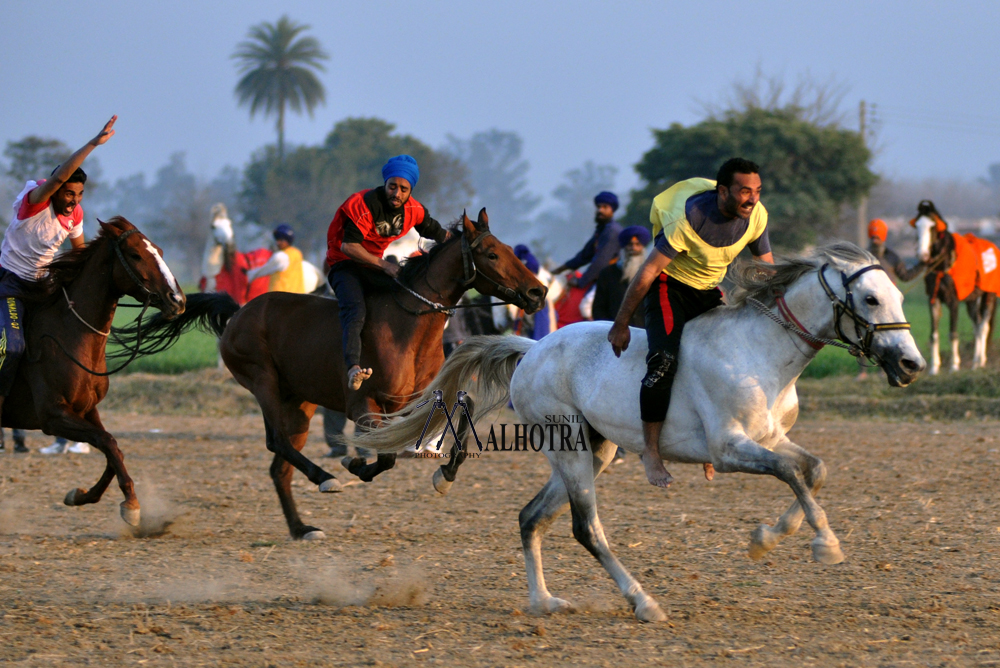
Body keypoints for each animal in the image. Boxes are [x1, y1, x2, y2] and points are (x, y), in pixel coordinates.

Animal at [2, 219, 186, 528]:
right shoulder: (54, 416)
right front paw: (131, 505)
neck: (68, 335)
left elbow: (113, 448)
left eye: (159, 251)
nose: (178, 300)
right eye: (135, 254)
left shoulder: (88, 409)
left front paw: (81, 495)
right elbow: (108, 442)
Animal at [134, 211, 548, 540]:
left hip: (299, 402)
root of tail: (239, 311)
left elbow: (463, 410)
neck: (407, 323)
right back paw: (326, 479)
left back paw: (302, 528)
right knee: (276, 441)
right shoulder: (365, 403)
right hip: (263, 382)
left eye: (509, 249)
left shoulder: (418, 397)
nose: (538, 291)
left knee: (279, 467)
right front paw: (355, 464)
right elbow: (384, 457)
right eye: (491, 253)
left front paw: (444, 475)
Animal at [356, 243, 924, 624]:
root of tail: (532, 348)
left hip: (595, 452)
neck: (761, 353)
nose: (911, 364)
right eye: (870, 299)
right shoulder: (731, 449)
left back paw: (544, 601)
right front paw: (825, 544)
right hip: (571, 449)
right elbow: (791, 473)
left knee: (531, 517)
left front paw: (767, 538)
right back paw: (644, 601)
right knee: (586, 529)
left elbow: (812, 470)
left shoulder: (770, 439)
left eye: (899, 295)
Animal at [912, 198, 996, 376]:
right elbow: (934, 335)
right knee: (977, 325)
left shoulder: (954, 301)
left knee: (983, 327)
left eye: (933, 226)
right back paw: (975, 363)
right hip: (972, 301)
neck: (942, 265)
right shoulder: (933, 300)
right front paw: (934, 368)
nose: (922, 255)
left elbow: (953, 333)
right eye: (917, 225)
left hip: (988, 296)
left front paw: (954, 366)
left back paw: (980, 361)